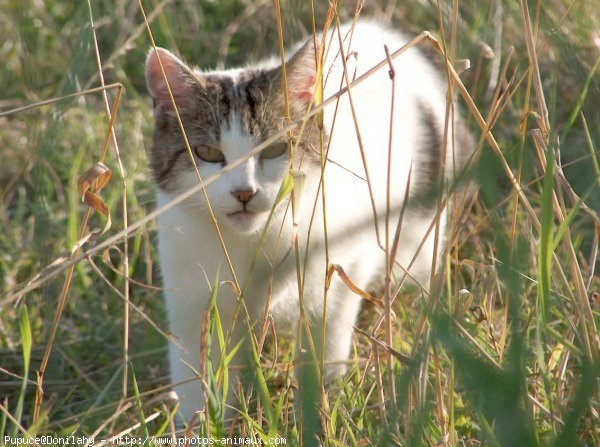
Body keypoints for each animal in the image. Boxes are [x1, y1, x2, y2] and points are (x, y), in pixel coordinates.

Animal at [146, 18, 474, 424]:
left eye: (275, 149)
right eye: (207, 153)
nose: (244, 192)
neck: (251, 242)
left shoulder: (336, 283)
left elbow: (324, 353)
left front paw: (318, 416)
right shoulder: (192, 302)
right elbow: (196, 376)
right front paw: (201, 424)